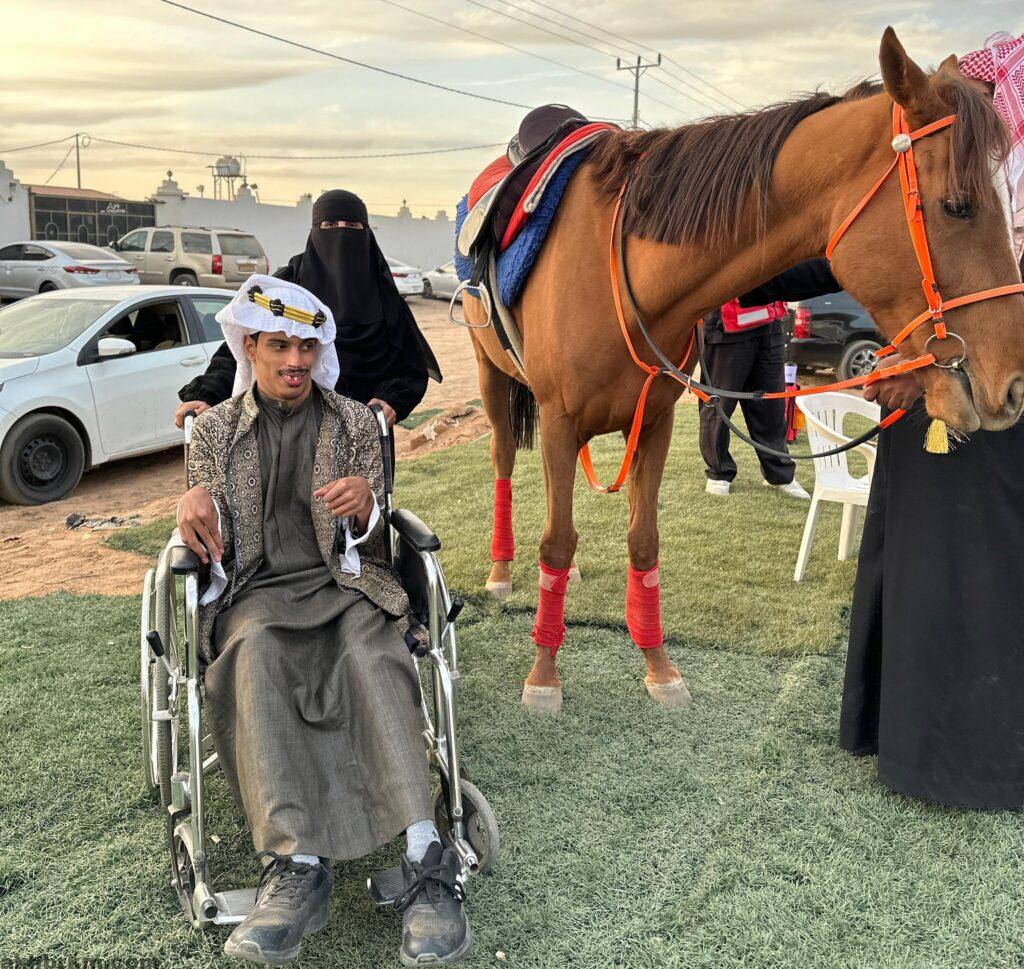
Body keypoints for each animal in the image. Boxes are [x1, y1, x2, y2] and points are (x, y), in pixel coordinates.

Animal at [464, 28, 1024, 713]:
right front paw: (544, 673)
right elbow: (557, 541)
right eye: (957, 206)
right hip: (492, 380)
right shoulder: (558, 421)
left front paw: (658, 665)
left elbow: (643, 541)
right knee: (501, 462)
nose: (1012, 384)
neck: (617, 269)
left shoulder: (653, 420)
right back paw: (498, 571)